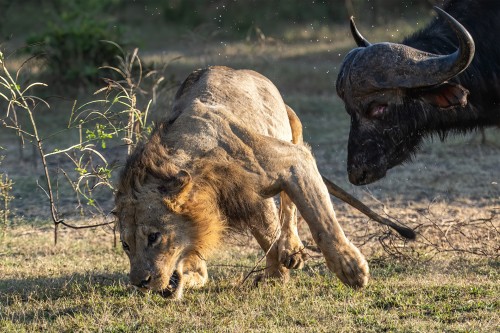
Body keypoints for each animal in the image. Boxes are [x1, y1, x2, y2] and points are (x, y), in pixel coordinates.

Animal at [114, 65, 372, 298]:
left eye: (153, 237)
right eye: (126, 245)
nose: (139, 283)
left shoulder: (293, 161)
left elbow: (321, 222)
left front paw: (350, 268)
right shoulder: (247, 197)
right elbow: (267, 236)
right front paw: (274, 277)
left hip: (292, 131)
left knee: (289, 205)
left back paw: (293, 247)